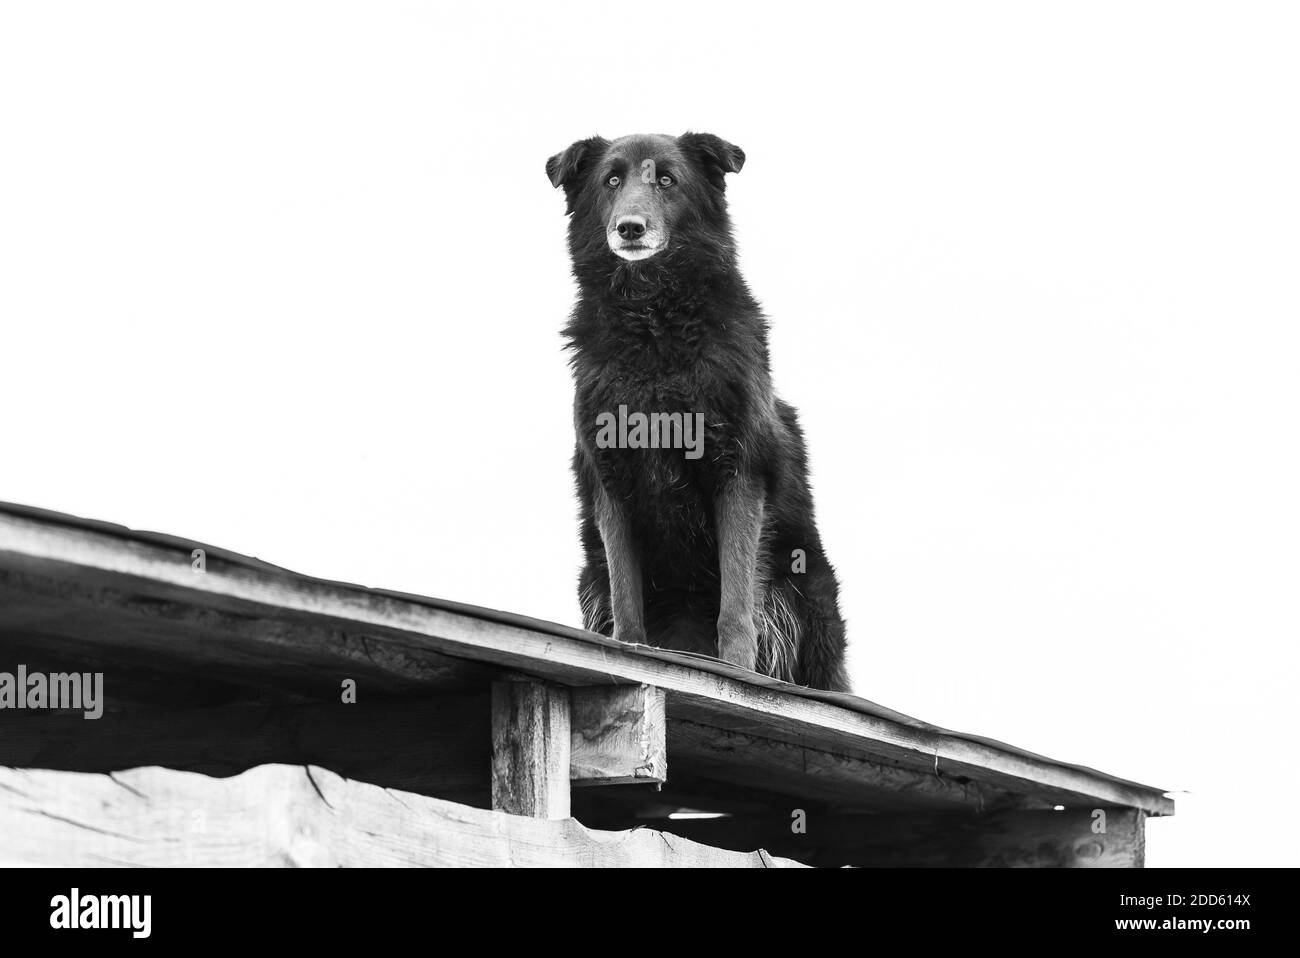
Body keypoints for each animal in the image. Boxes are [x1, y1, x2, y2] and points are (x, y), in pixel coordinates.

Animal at [548, 132, 852, 686]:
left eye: (667, 180)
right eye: (611, 180)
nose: (630, 228)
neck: (652, 324)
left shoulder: (738, 473)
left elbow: (736, 598)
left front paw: (737, 670)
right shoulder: (610, 483)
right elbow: (627, 599)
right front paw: (631, 651)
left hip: (809, 593)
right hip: (590, 578)